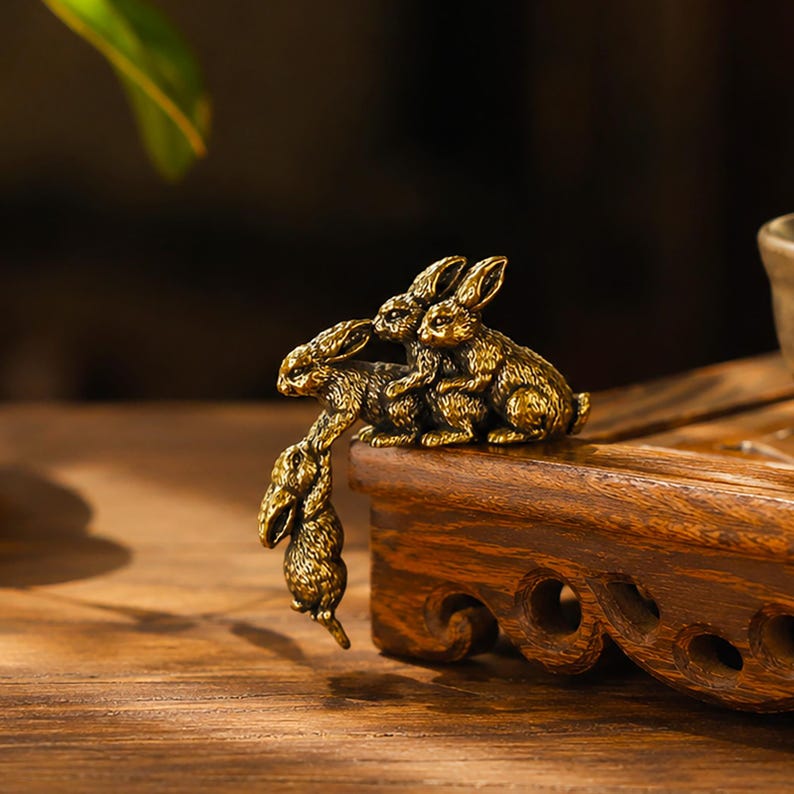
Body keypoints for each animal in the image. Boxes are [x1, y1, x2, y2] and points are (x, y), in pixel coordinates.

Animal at [259, 438, 350, 648]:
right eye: (296, 460)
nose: (305, 442)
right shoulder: (313, 503)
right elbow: (324, 481)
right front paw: (323, 453)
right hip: (337, 577)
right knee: (324, 611)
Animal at [277, 319, 423, 450]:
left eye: (297, 371)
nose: (280, 387)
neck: (329, 378)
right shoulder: (329, 410)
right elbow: (320, 423)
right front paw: (311, 437)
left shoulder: (345, 402)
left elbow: (337, 422)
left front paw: (319, 442)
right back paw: (368, 433)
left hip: (398, 407)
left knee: (411, 433)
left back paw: (383, 439)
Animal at [373, 256, 490, 443]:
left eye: (394, 315)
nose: (374, 325)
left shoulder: (427, 356)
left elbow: (423, 375)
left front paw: (392, 389)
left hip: (444, 400)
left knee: (466, 432)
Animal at [417, 256, 590, 445]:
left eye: (441, 320)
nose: (420, 334)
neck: (471, 338)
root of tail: (563, 420)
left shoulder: (484, 362)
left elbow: (474, 382)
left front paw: (443, 385)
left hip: (521, 400)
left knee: (536, 432)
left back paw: (500, 435)